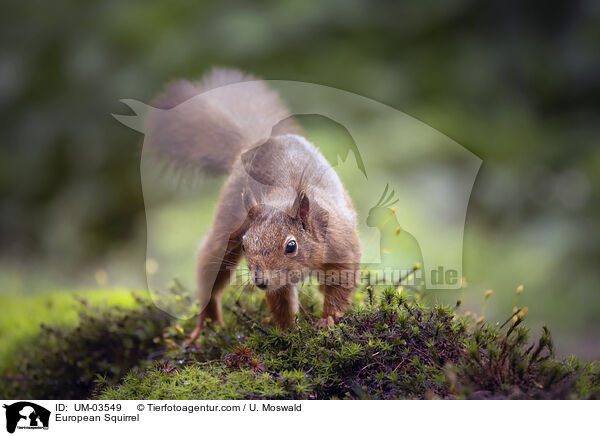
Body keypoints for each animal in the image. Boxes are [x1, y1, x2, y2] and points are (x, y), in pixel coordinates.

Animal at [145, 69, 360, 340]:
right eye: (245, 245)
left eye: (291, 246)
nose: (260, 281)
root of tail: (254, 146)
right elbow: (281, 300)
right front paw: (287, 331)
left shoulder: (341, 248)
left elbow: (339, 286)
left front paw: (328, 320)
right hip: (227, 221)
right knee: (210, 269)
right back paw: (206, 324)